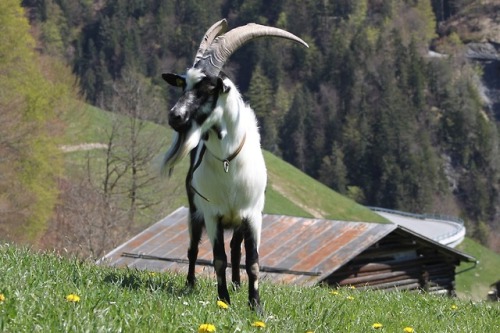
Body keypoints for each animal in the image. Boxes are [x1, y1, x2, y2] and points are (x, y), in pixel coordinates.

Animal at [160, 18, 308, 308]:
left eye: (208, 88)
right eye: (183, 86)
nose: (175, 117)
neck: (229, 164)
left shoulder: (252, 214)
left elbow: (253, 261)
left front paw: (255, 305)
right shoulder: (212, 214)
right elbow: (218, 259)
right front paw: (224, 301)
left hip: (238, 219)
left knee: (236, 249)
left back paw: (238, 284)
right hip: (195, 210)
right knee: (194, 248)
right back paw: (191, 283)